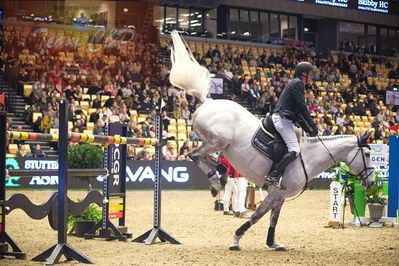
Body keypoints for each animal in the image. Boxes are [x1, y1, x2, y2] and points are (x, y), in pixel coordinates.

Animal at [169, 31, 376, 251]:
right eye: (367, 154)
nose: (371, 181)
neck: (309, 157)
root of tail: (208, 101)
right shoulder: (275, 193)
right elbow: (257, 217)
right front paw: (235, 240)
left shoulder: (281, 196)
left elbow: (274, 219)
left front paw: (273, 242)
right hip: (218, 142)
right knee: (194, 154)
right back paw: (216, 181)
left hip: (218, 145)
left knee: (206, 158)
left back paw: (220, 176)